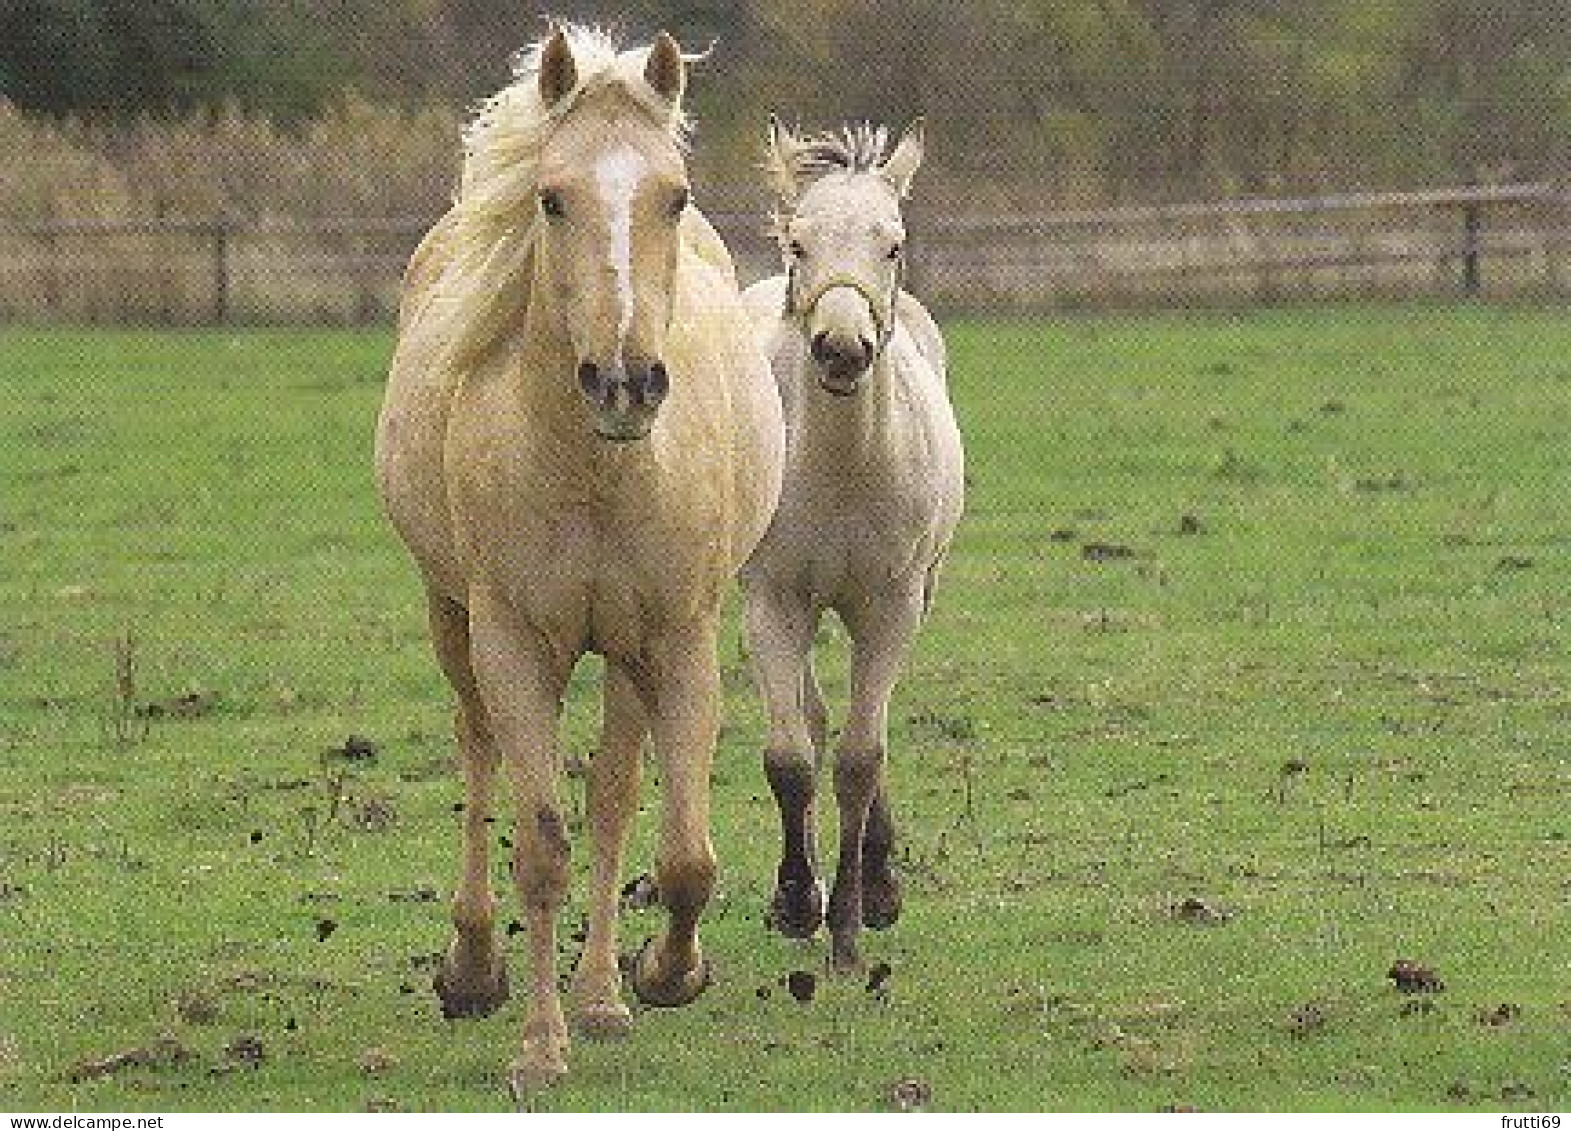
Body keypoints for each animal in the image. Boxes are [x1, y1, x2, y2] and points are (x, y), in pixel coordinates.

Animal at [369, 24, 785, 1087]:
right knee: (480, 756)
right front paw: (539, 1047)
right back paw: (475, 967)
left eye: (673, 195)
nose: (625, 383)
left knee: (614, 793)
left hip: (626, 654)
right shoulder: (513, 644)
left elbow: (678, 853)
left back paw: (601, 996)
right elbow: (542, 844)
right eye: (552, 198)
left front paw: (663, 975)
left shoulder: (676, 640)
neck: (596, 469)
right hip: (453, 619)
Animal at [741, 121, 961, 973]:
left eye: (892, 245)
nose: (841, 348)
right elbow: (792, 755)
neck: (841, 465)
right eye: (797, 244)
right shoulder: (772, 599)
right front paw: (798, 902)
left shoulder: (891, 604)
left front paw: (853, 924)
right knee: (809, 715)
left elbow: (862, 757)